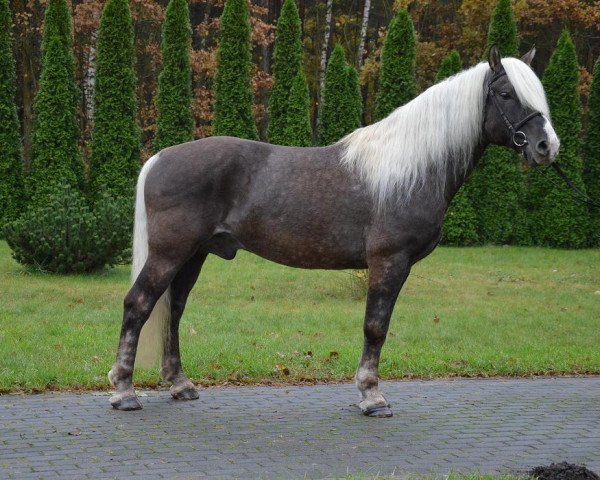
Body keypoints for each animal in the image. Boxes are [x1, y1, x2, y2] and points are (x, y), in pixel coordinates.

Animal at [109, 47, 564, 418]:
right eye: (505, 94)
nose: (547, 147)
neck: (409, 169)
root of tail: (161, 157)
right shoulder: (388, 262)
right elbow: (375, 327)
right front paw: (372, 397)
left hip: (194, 255)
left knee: (173, 309)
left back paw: (180, 385)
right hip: (170, 253)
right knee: (138, 304)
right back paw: (123, 391)